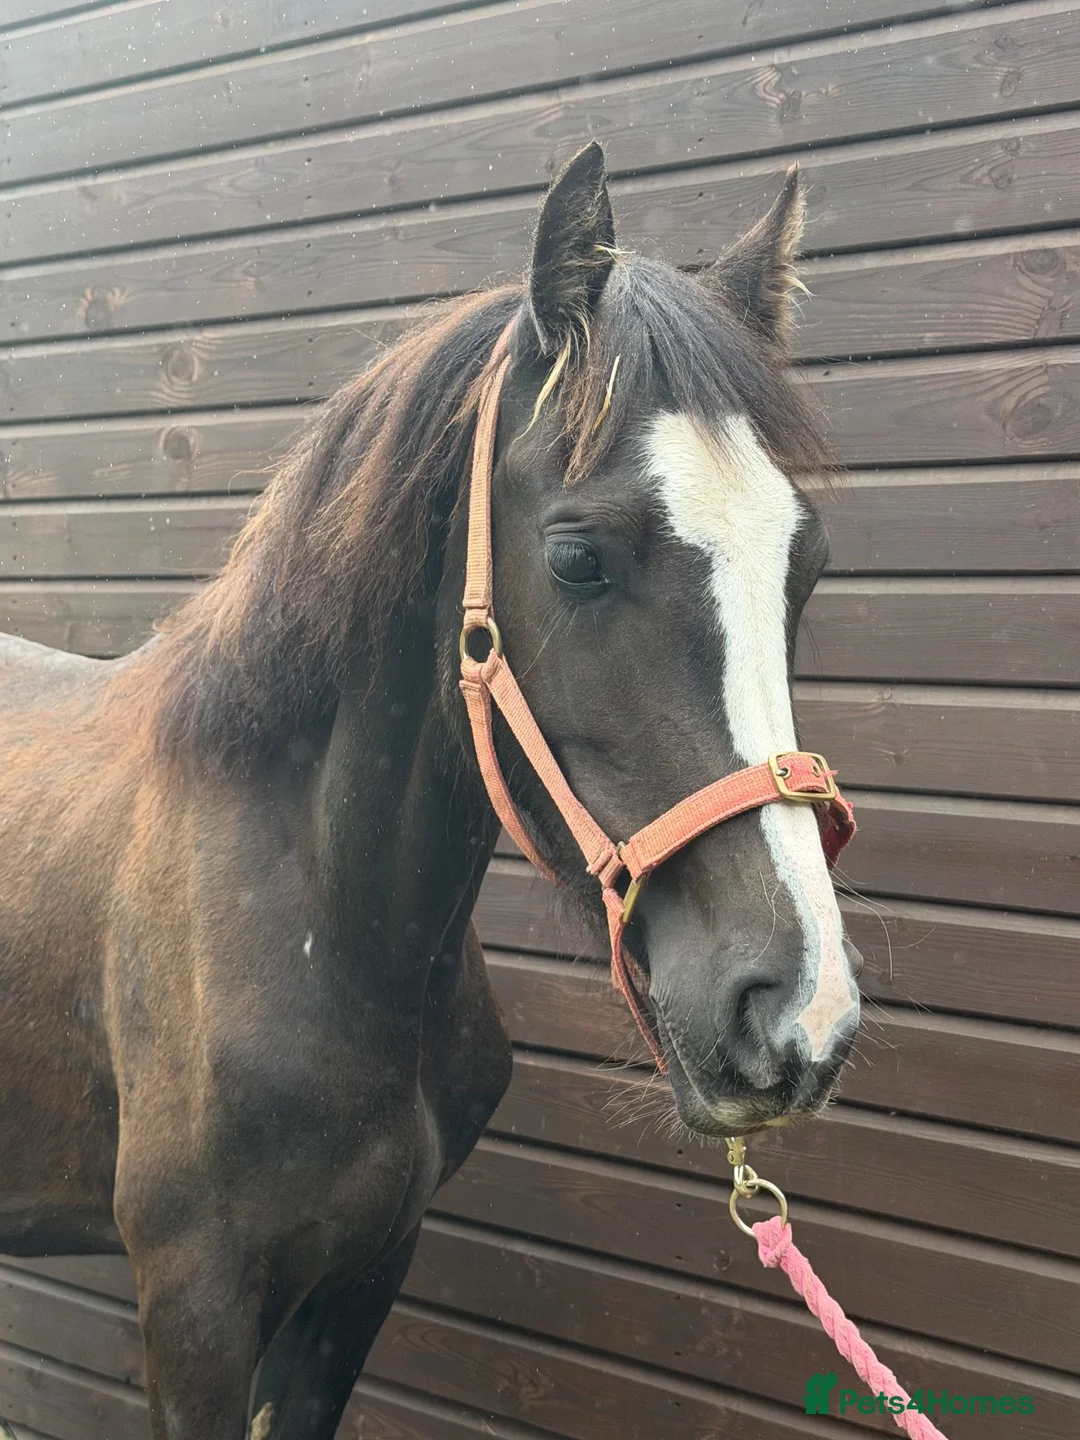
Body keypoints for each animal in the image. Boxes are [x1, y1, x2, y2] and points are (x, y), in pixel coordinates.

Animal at [0, 143, 861, 1439]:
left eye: (804, 565)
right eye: (577, 557)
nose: (798, 1016)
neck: (319, 920)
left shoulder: (362, 1277)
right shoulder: (193, 1310)